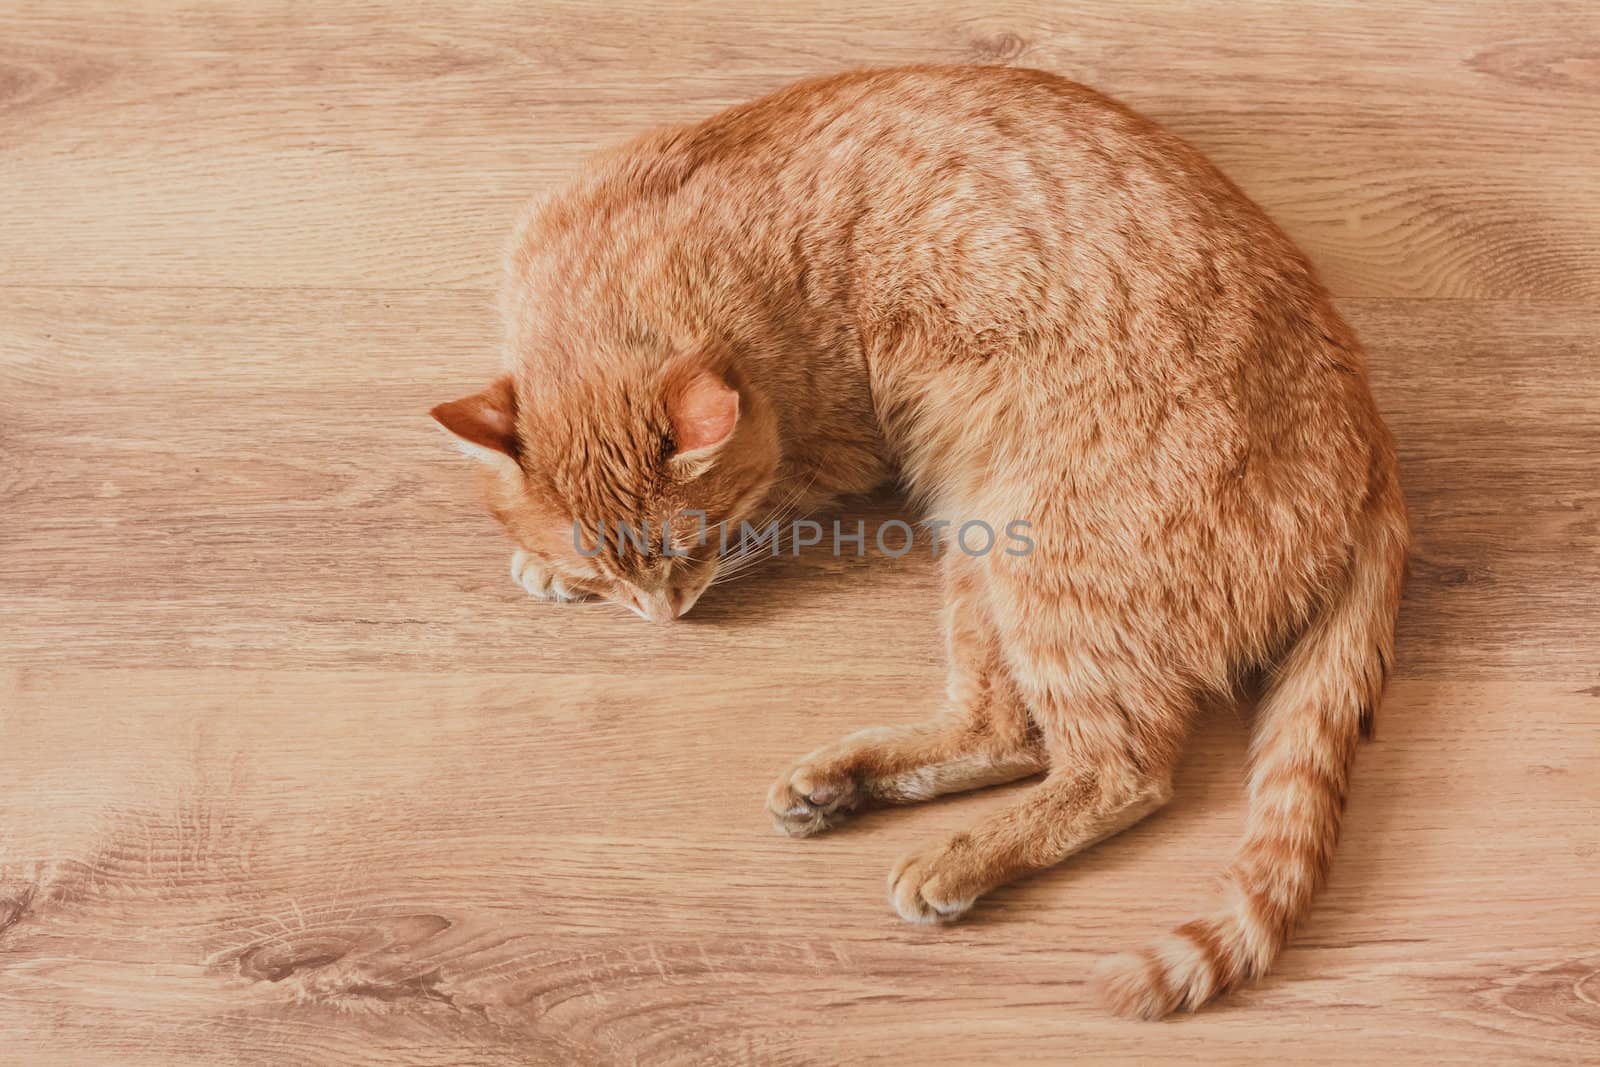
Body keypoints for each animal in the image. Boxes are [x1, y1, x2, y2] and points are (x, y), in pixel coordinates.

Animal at [432, 64, 1408, 1017]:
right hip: (981, 559)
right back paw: (842, 786)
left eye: (688, 544)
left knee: (1118, 769)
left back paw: (952, 859)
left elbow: (771, 505)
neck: (630, 278)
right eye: (601, 564)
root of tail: (1369, 427)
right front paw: (547, 570)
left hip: (1041, 563)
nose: (661, 616)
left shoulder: (829, 454)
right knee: (1008, 730)